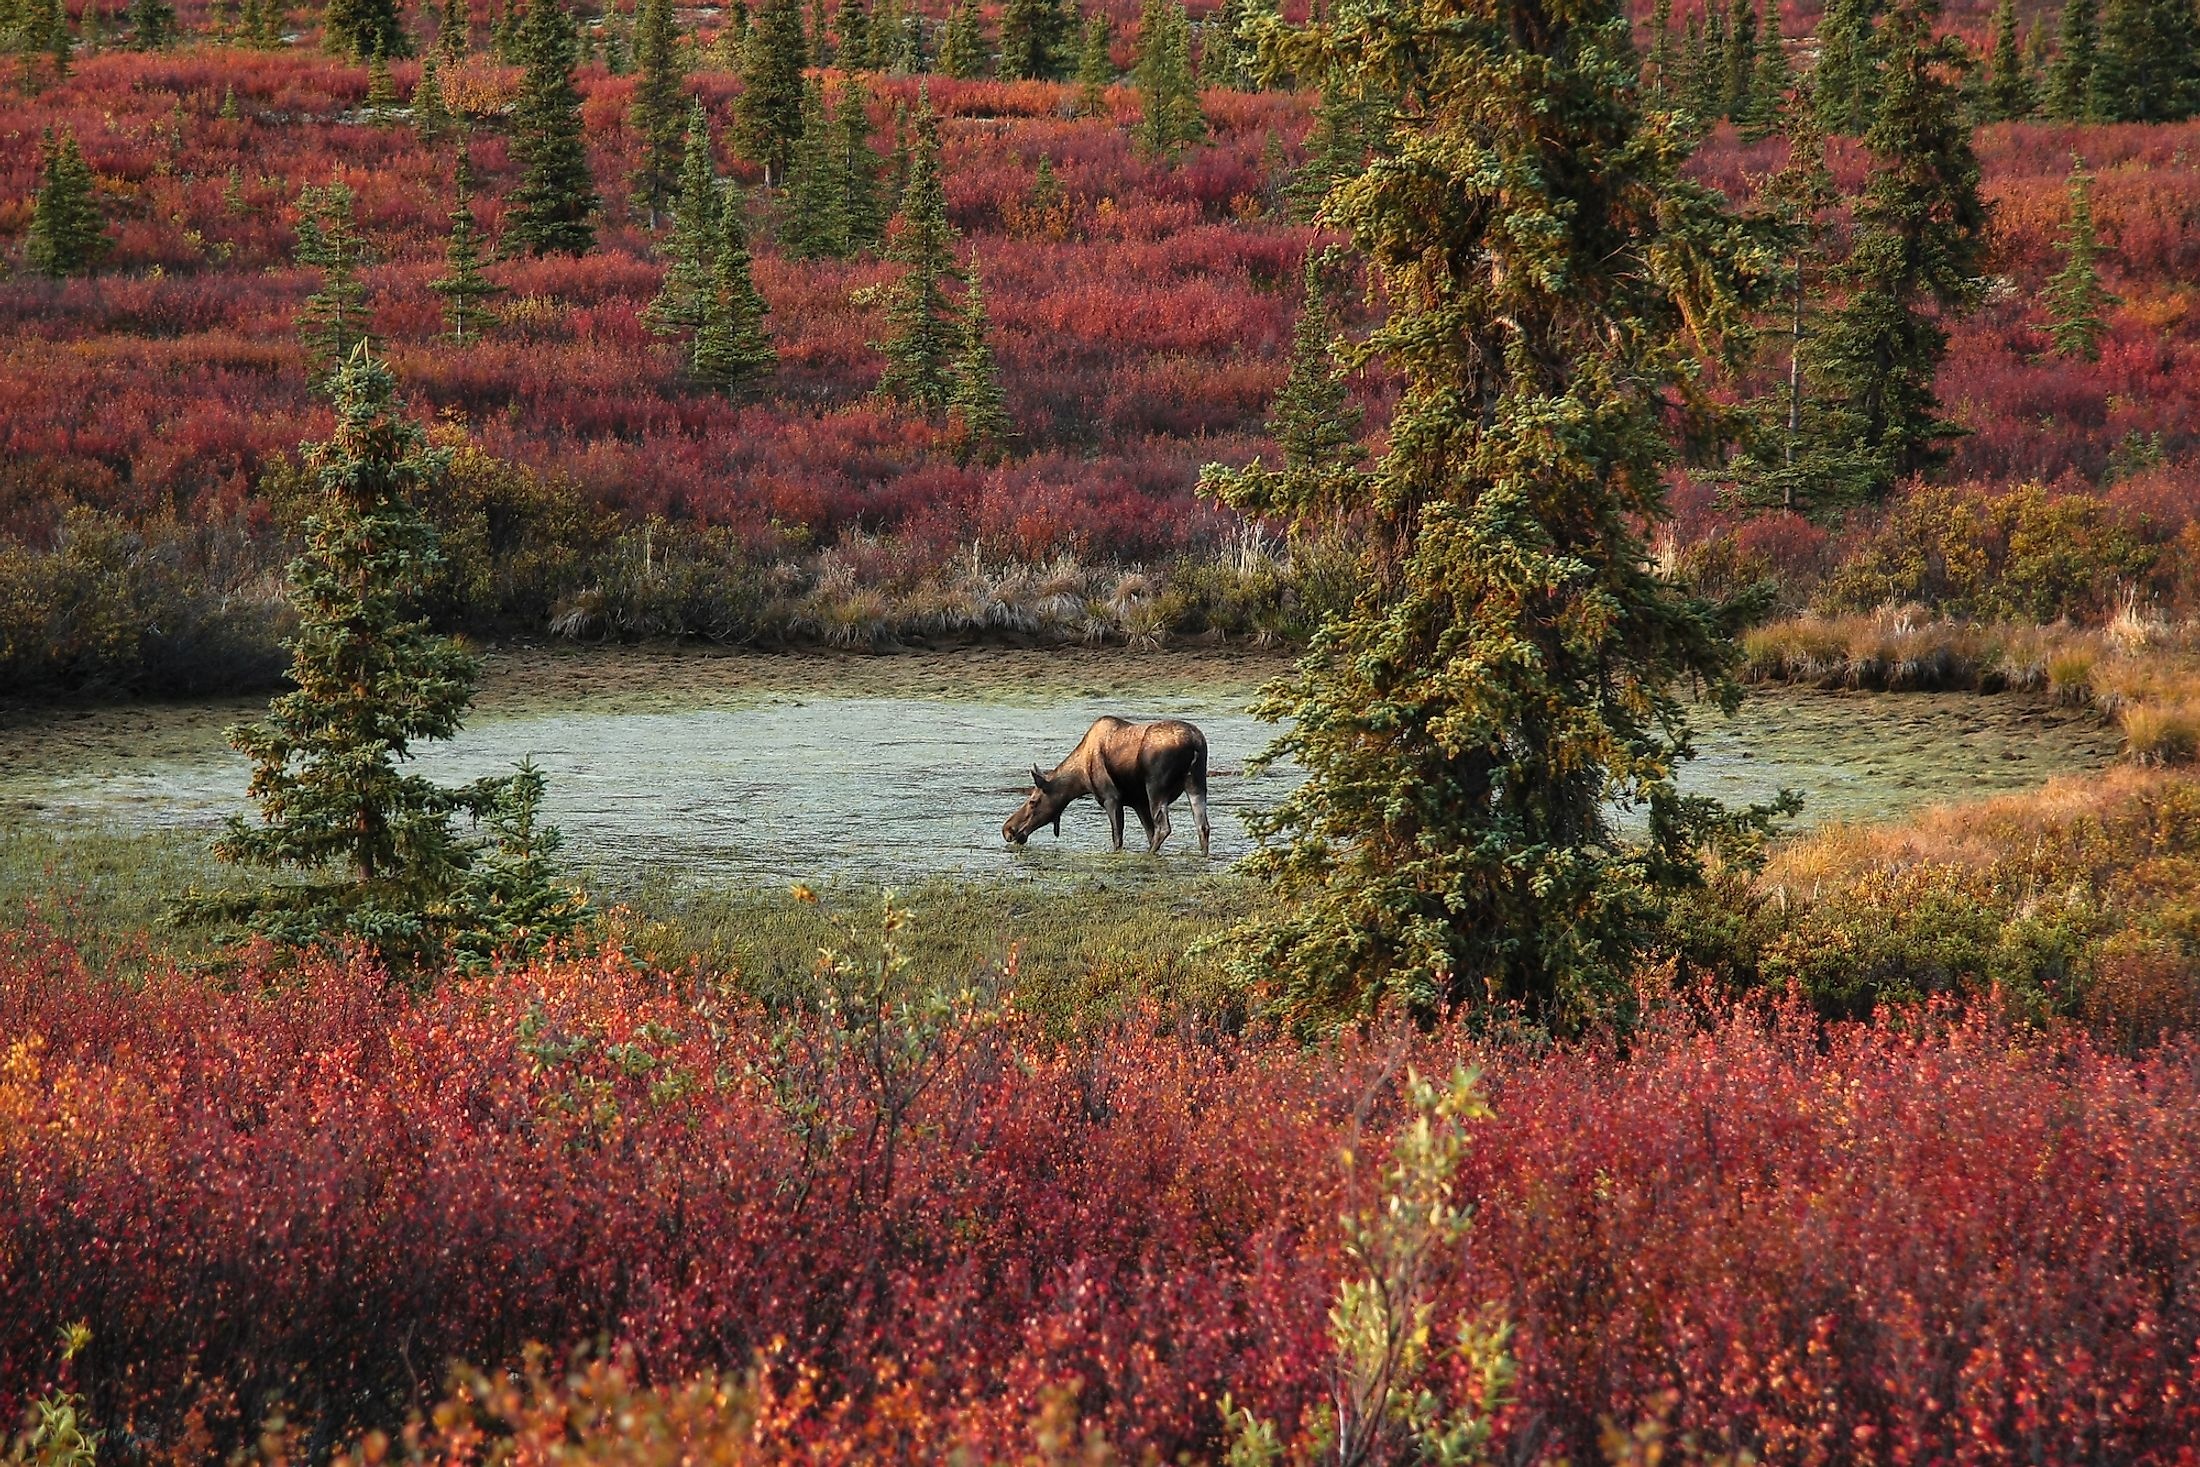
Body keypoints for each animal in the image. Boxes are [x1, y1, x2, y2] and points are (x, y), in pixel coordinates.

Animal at [1007, 717, 1214, 853]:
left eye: (1033, 801)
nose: (1008, 830)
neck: (1080, 778)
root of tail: (1195, 743)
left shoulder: (1111, 798)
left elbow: (1118, 838)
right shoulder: (1138, 803)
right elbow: (1147, 832)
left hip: (1156, 787)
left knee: (1164, 828)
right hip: (1196, 783)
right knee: (1202, 826)